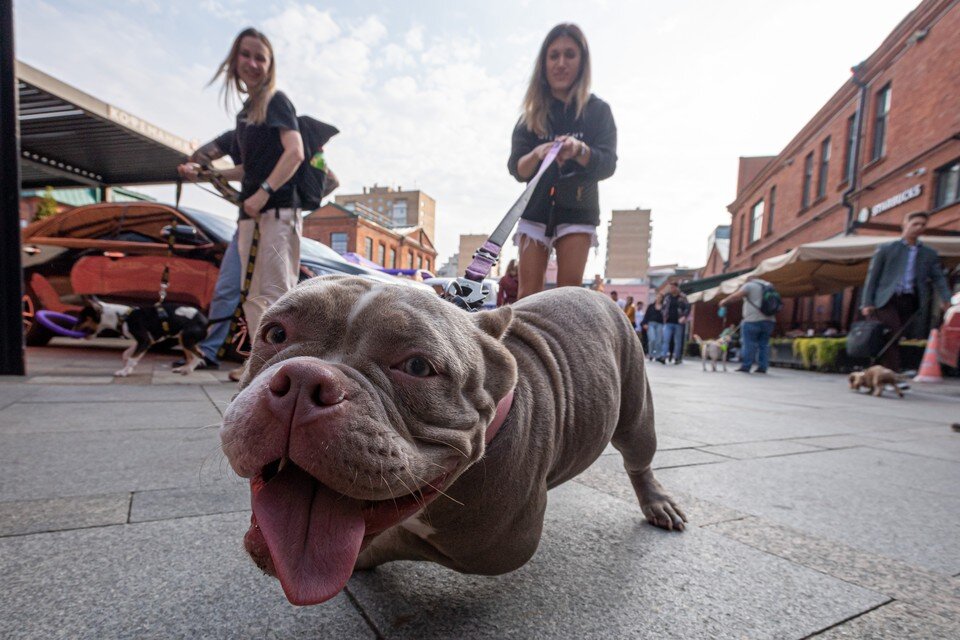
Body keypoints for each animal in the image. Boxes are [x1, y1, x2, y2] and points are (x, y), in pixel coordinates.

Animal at [74, 302, 210, 378]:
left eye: (82, 317)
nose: (72, 327)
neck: (121, 317)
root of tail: (207, 321)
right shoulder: (142, 342)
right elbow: (127, 354)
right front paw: (128, 367)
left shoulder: (145, 340)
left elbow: (132, 358)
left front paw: (124, 372)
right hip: (184, 340)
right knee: (192, 355)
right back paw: (184, 368)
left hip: (186, 339)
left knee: (200, 354)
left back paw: (188, 369)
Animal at [219, 276, 684, 604]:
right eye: (275, 334)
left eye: (418, 366)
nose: (303, 378)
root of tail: (595, 293)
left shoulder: (490, 549)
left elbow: (399, 539)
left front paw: (363, 556)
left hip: (636, 414)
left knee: (639, 458)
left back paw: (657, 503)